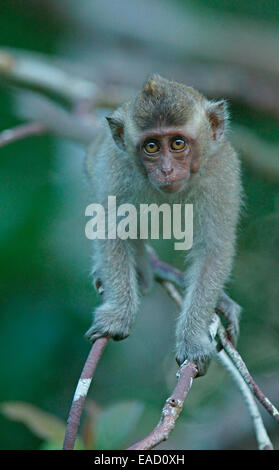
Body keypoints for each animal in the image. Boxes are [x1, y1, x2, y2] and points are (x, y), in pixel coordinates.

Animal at [85, 74, 243, 374]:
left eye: (178, 143)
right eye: (152, 146)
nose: (166, 170)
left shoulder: (221, 173)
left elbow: (212, 250)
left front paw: (192, 340)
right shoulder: (117, 169)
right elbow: (112, 230)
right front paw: (119, 314)